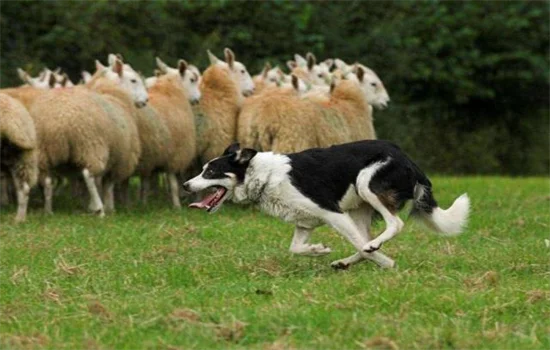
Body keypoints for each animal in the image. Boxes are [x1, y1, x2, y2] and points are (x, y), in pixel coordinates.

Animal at [185, 141, 470, 270]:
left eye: (210, 172)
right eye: (203, 170)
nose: (187, 185)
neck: (264, 177)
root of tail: (408, 158)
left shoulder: (333, 213)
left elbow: (361, 244)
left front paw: (387, 263)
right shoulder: (305, 223)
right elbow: (295, 248)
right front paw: (318, 250)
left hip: (366, 185)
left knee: (392, 226)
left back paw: (374, 249)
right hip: (359, 208)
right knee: (365, 238)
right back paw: (345, 262)